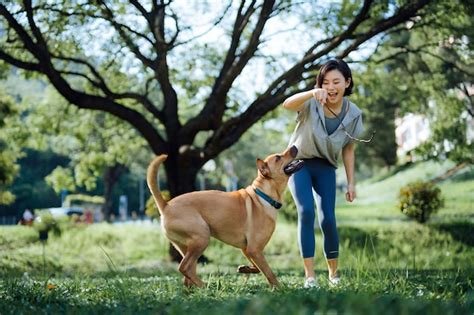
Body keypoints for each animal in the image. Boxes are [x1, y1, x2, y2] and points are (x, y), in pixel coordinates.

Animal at [146, 146, 304, 288]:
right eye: (278, 158)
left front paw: (245, 269)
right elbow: (269, 272)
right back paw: (205, 286)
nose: (294, 146)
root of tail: (166, 205)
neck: (263, 195)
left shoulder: (248, 249)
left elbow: (258, 267)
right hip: (202, 237)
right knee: (184, 267)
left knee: (187, 274)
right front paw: (280, 288)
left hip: (187, 246)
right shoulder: (254, 249)